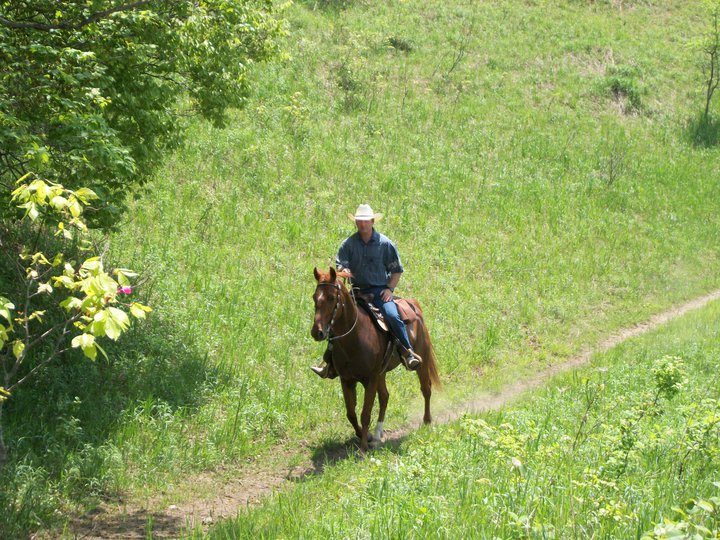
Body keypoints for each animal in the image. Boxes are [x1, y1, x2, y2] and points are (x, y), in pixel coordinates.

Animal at [311, 266, 441, 452]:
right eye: (315, 297)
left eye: (331, 297)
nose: (317, 332)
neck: (355, 338)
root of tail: (413, 305)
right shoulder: (346, 380)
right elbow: (351, 413)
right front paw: (367, 436)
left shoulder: (370, 379)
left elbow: (365, 413)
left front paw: (364, 447)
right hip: (382, 373)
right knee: (385, 396)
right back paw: (378, 433)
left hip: (419, 362)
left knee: (426, 389)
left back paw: (427, 421)